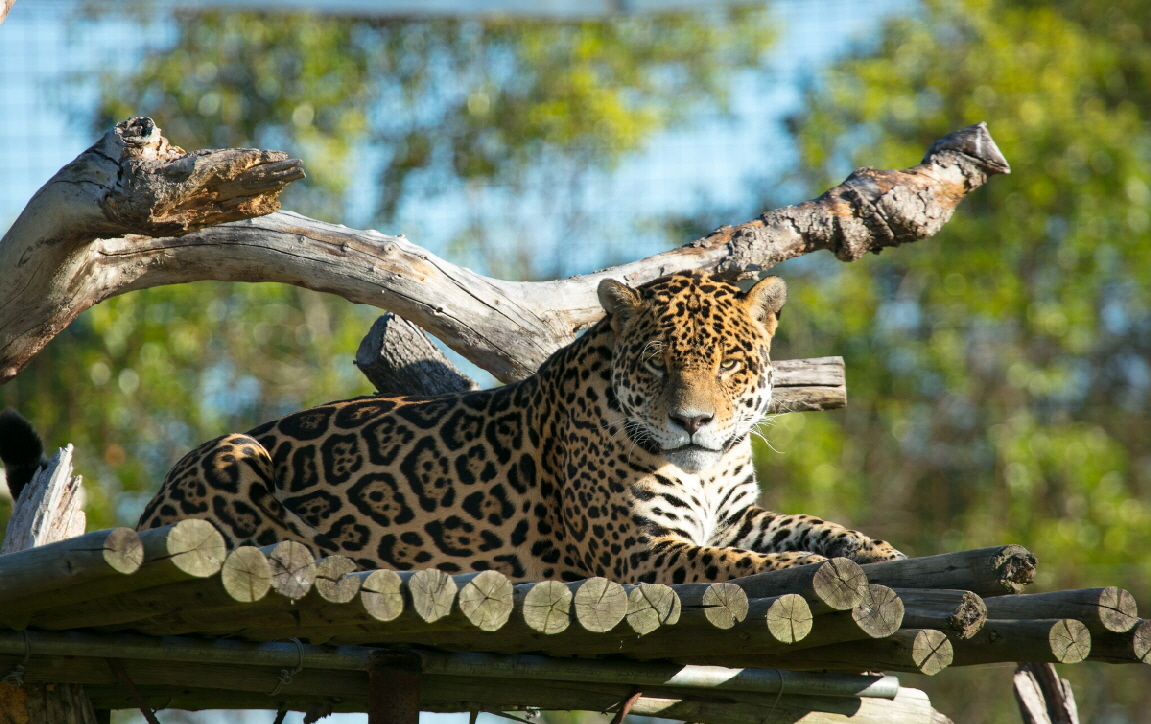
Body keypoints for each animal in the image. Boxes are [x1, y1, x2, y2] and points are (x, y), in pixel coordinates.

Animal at [138, 270, 904, 584]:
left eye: (727, 365)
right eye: (656, 364)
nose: (691, 421)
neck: (705, 467)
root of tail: (148, 508)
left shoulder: (732, 516)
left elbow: (811, 524)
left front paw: (878, 550)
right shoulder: (641, 550)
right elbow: (738, 563)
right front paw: (807, 567)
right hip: (234, 449)